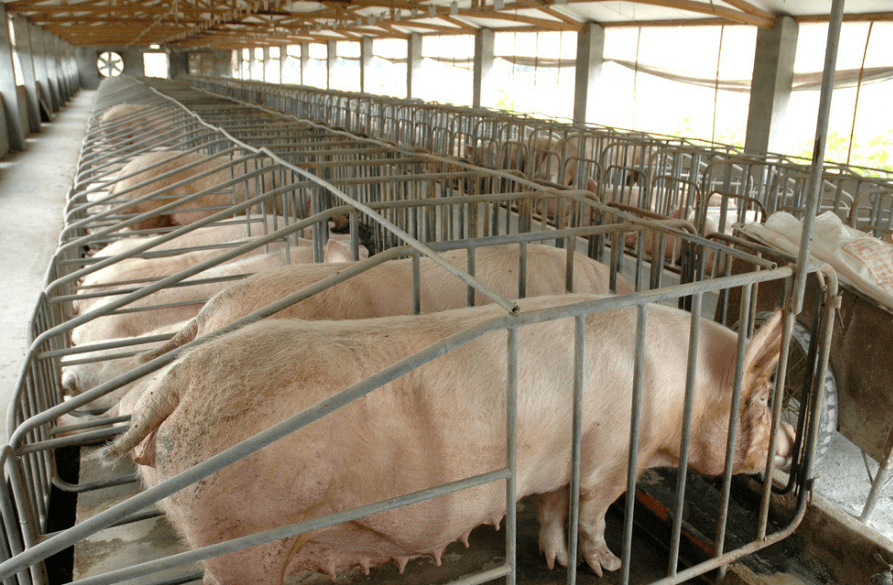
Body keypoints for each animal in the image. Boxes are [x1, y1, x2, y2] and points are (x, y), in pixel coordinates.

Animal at [104, 296, 796, 584]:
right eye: (765, 398)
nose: (792, 439)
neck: (679, 393)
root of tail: (179, 381)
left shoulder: (560, 463)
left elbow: (551, 511)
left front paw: (555, 562)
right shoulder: (610, 460)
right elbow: (593, 514)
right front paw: (607, 566)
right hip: (235, 544)